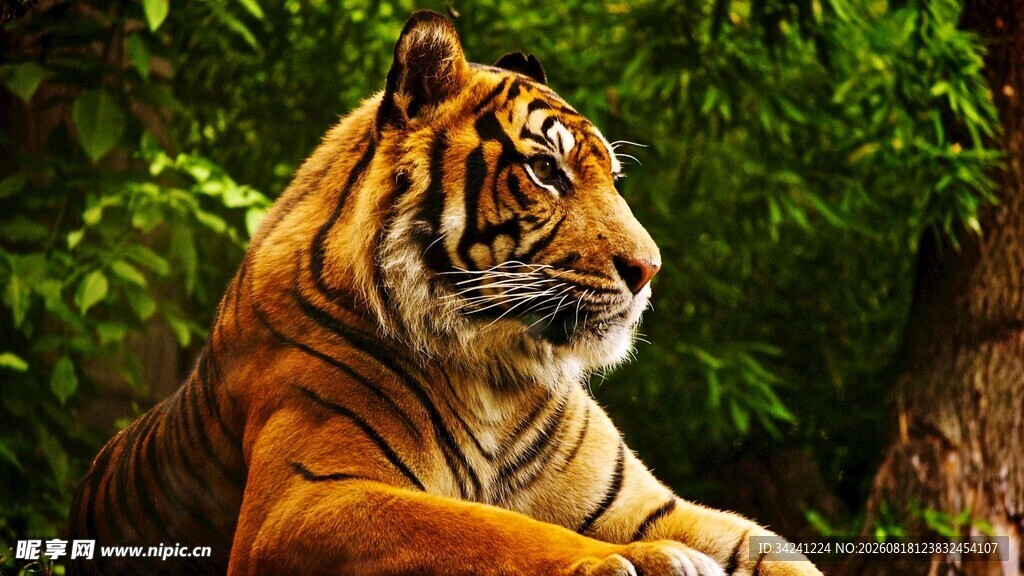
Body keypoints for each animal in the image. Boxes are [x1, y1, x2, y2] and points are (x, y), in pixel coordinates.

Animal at [68, 10, 823, 576]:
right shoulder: (304, 500)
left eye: (612, 178)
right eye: (546, 172)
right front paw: (646, 560)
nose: (650, 269)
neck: (497, 373)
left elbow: (776, 551)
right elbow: (487, 529)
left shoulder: (647, 505)